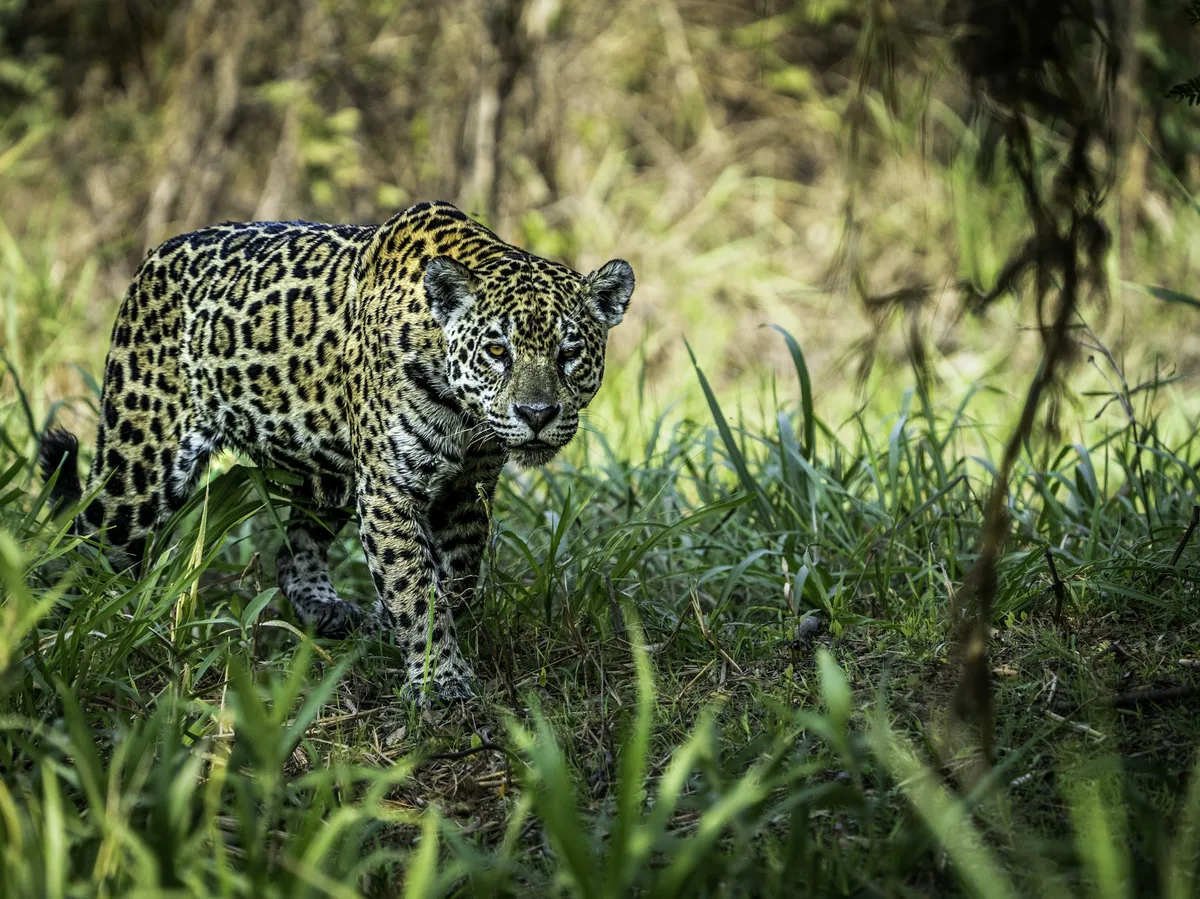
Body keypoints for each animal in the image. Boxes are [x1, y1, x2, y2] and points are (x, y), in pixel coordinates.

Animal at [38, 200, 635, 704]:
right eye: (496, 350)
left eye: (569, 353)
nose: (537, 414)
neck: (463, 413)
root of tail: (152, 258)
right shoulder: (391, 489)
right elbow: (416, 587)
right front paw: (439, 680)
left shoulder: (468, 490)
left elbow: (457, 580)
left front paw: (416, 638)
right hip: (139, 467)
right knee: (84, 546)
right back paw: (74, 638)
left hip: (331, 478)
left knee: (290, 554)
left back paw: (336, 615)